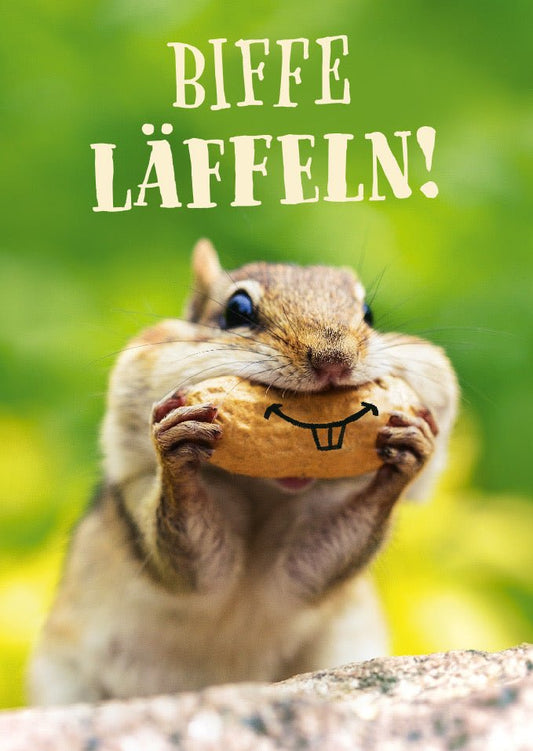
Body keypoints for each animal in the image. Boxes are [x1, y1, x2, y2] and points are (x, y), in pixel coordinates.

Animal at [28, 239, 458, 705]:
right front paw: (177, 450)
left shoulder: (300, 571)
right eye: (237, 310)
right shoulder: (138, 495)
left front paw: (408, 452)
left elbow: (313, 565)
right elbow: (195, 563)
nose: (334, 360)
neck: (266, 490)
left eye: (368, 313)